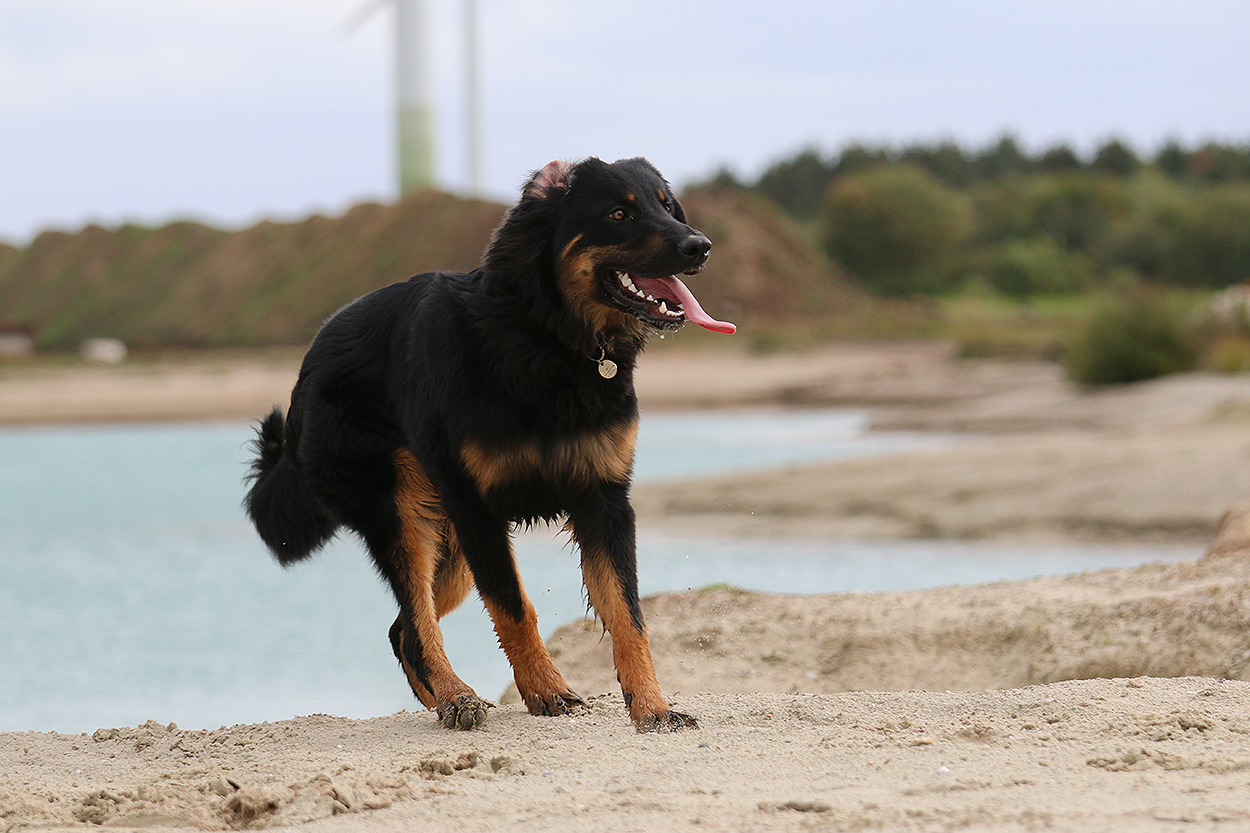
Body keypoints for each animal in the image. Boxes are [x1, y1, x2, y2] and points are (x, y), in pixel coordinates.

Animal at [244, 157, 735, 732]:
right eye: (618, 213)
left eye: (667, 206)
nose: (699, 245)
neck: (545, 338)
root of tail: (307, 369)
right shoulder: (478, 509)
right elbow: (514, 608)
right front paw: (547, 690)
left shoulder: (603, 500)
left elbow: (629, 615)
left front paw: (653, 708)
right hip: (404, 514)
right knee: (416, 620)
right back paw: (456, 696)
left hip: (450, 545)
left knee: (403, 628)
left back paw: (444, 698)